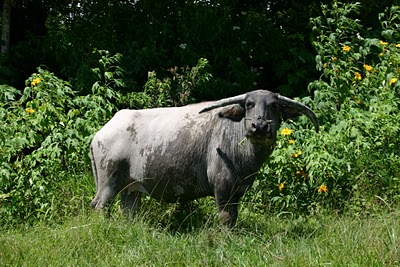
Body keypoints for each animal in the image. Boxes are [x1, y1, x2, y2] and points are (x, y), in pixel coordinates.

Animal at [90, 90, 318, 228]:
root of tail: (99, 134)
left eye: (274, 106)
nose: (259, 126)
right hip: (108, 183)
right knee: (99, 206)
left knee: (127, 211)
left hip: (131, 189)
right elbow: (226, 218)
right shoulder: (222, 188)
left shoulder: (237, 191)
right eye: (249, 104)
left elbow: (234, 217)